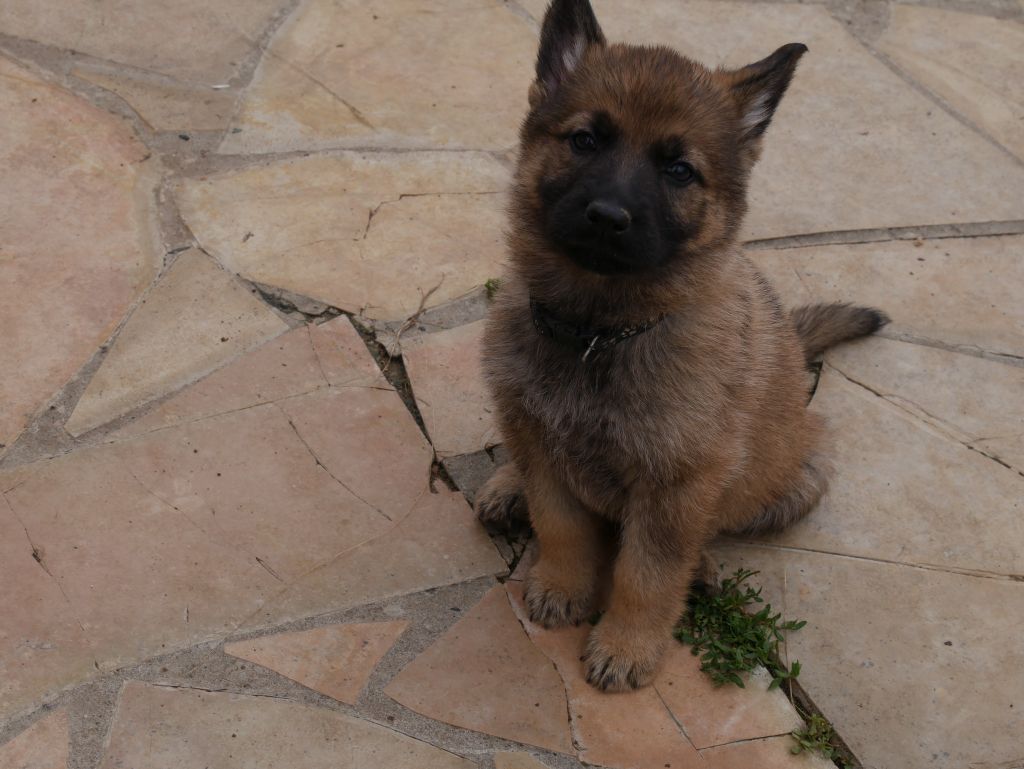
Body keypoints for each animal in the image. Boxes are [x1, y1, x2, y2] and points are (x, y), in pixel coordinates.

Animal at [476, 0, 887, 691]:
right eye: (585, 140)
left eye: (678, 171)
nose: (607, 217)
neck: (600, 334)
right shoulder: (544, 444)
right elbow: (559, 524)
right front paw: (562, 586)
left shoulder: (676, 488)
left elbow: (648, 573)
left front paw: (628, 645)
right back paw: (507, 484)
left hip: (795, 484)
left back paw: (704, 569)